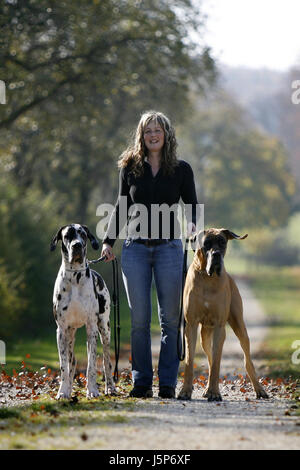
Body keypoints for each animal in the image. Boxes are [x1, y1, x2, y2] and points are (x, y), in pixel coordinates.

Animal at [49, 224, 115, 400]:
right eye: (67, 235)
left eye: (83, 235)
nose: (76, 245)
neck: (74, 277)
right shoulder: (61, 330)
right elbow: (64, 366)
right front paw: (63, 391)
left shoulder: (91, 328)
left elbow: (92, 365)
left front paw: (92, 390)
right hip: (70, 334)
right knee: (71, 362)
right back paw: (69, 388)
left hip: (104, 329)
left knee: (107, 361)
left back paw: (110, 387)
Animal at [177, 229, 268, 402]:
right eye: (206, 243)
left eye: (222, 242)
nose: (216, 254)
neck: (208, 278)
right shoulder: (191, 325)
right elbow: (190, 360)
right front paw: (185, 391)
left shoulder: (220, 326)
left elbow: (217, 362)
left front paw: (214, 393)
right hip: (205, 336)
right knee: (210, 358)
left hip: (239, 326)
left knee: (247, 360)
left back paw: (259, 389)